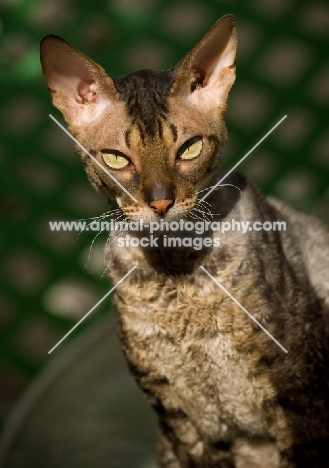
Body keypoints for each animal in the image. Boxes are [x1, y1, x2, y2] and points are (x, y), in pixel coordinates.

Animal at [40, 14, 328, 468]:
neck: (174, 270)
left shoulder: (300, 389)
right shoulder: (181, 418)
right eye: (116, 159)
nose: (160, 202)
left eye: (189, 149)